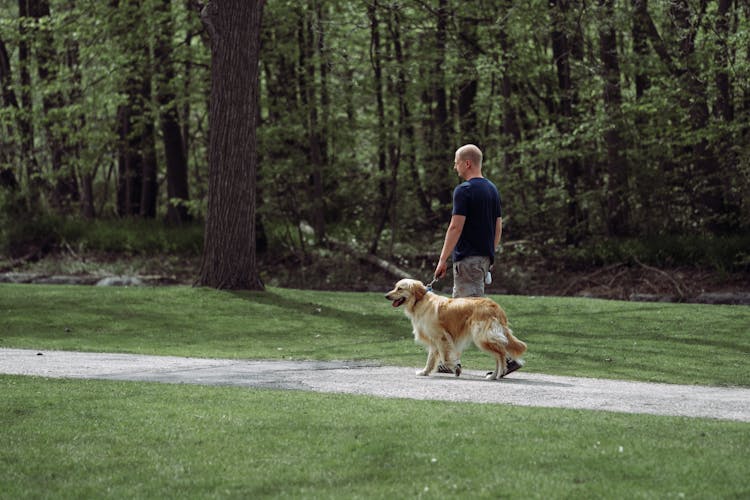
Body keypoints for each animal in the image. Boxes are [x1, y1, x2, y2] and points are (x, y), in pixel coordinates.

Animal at [388, 278, 528, 378]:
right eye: (395, 287)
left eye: (400, 288)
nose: (386, 296)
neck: (420, 301)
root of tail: (496, 306)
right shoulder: (434, 340)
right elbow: (431, 359)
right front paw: (424, 372)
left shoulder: (441, 337)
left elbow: (445, 358)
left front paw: (456, 368)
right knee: (500, 354)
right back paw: (495, 374)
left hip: (482, 337)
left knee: (501, 354)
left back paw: (498, 374)